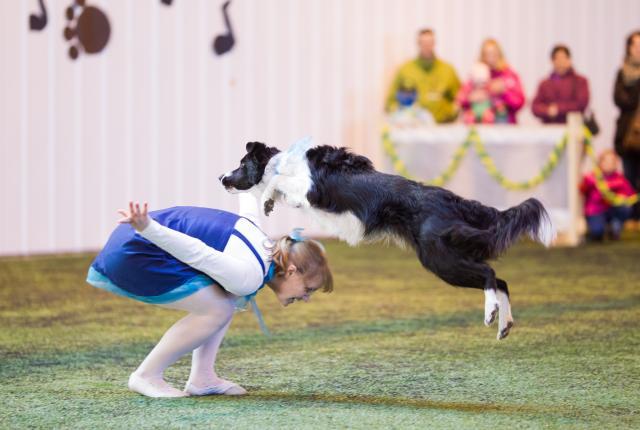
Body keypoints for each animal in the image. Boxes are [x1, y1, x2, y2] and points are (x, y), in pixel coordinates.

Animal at [220, 141, 556, 340]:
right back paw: (505, 323)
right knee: (502, 280)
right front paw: (269, 199)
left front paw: (267, 198)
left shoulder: (310, 190)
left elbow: (277, 181)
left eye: (240, 164)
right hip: (450, 252)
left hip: (438, 258)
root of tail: (451, 199)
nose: (221, 179)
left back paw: (490, 313)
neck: (280, 160)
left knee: (490, 273)